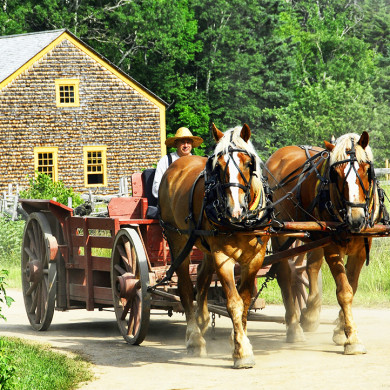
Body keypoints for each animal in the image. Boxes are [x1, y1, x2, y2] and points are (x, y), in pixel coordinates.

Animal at [158, 123, 272, 368]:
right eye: (218, 167)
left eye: (248, 163)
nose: (235, 210)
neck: (242, 222)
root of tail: (178, 164)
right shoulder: (222, 257)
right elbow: (234, 303)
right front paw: (242, 352)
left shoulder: (255, 258)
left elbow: (245, 301)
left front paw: (239, 340)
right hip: (177, 239)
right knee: (184, 286)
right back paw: (194, 338)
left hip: (204, 245)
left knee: (201, 278)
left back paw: (202, 319)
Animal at [266, 133, 386, 354]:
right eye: (335, 174)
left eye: (367, 170)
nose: (356, 218)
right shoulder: (331, 245)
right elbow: (344, 291)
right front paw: (352, 339)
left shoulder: (361, 248)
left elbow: (352, 286)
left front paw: (340, 330)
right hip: (282, 234)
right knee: (285, 275)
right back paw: (294, 327)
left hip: (313, 237)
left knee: (311, 267)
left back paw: (310, 313)